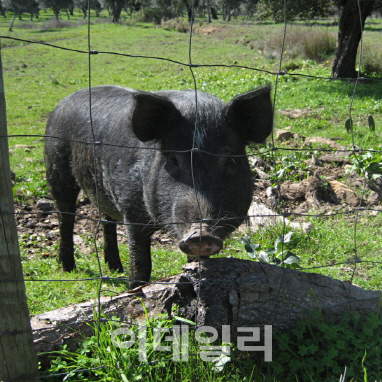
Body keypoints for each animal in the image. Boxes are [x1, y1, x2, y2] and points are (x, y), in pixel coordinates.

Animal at [44, 84, 274, 286]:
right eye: (173, 160)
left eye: (230, 161)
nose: (201, 233)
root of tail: (61, 104)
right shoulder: (131, 209)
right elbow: (141, 262)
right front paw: (134, 291)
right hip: (56, 167)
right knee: (66, 217)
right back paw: (69, 268)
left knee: (106, 220)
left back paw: (116, 268)